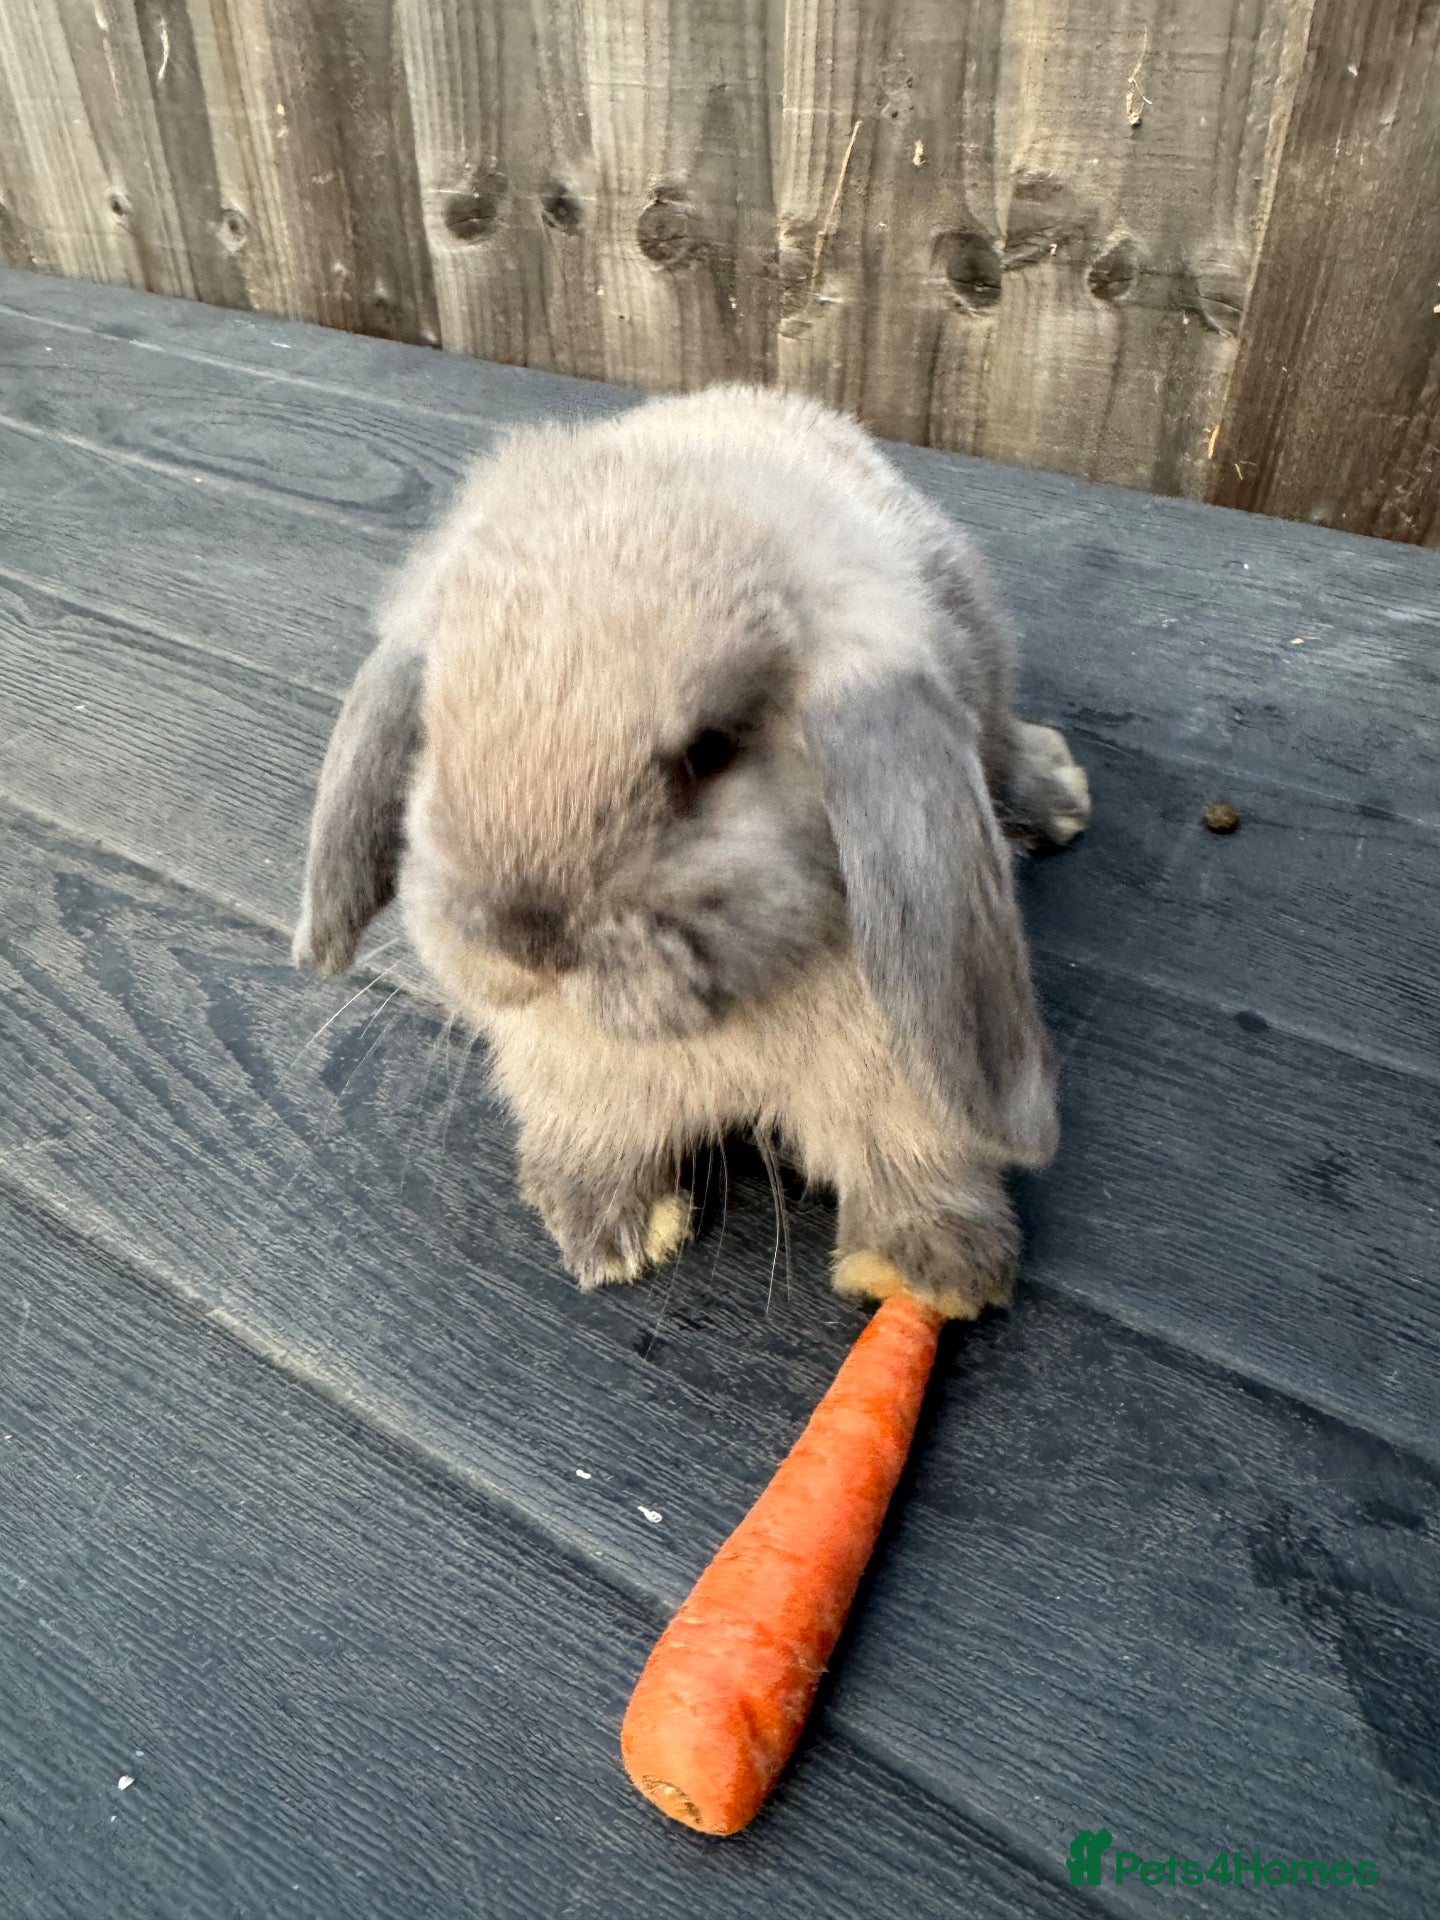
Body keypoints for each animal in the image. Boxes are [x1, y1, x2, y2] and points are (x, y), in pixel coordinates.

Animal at [293, 385, 1090, 1319]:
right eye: (433, 727)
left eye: (709, 752)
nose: (524, 942)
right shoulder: (571, 1065)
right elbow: (597, 1127)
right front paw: (607, 1230)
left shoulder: (894, 1066)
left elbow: (915, 1141)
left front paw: (935, 1268)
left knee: (1000, 746)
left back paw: (1059, 794)